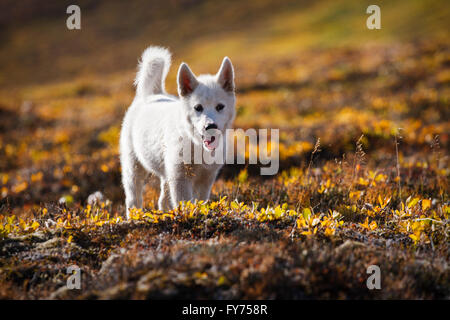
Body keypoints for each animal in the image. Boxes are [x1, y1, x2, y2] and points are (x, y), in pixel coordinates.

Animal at [119, 46, 236, 218]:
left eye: (220, 106)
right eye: (198, 107)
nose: (210, 126)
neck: (196, 145)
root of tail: (151, 95)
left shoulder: (205, 178)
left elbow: (200, 201)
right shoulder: (180, 178)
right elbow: (185, 202)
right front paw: (189, 215)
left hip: (166, 171)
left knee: (162, 200)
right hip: (134, 167)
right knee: (133, 198)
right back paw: (135, 216)